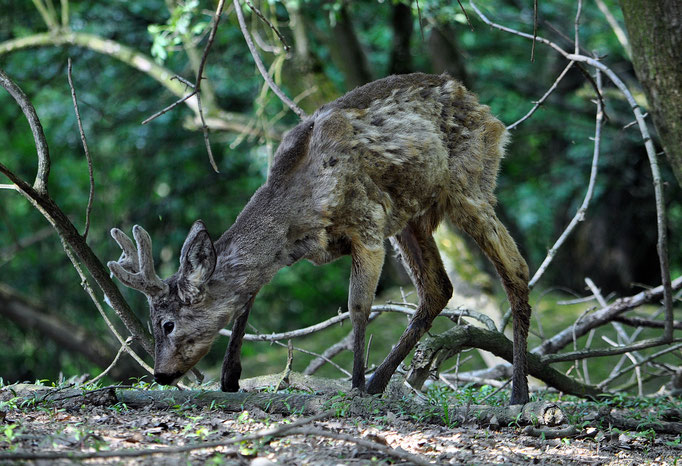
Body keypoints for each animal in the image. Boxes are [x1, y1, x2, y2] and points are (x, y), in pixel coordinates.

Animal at [107, 72, 532, 404]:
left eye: (167, 324)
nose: (160, 374)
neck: (298, 207)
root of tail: (487, 112)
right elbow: (247, 296)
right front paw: (230, 378)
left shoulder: (367, 225)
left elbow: (358, 306)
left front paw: (355, 384)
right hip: (412, 219)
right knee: (438, 288)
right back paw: (382, 382)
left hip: (469, 186)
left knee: (516, 270)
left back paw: (518, 392)